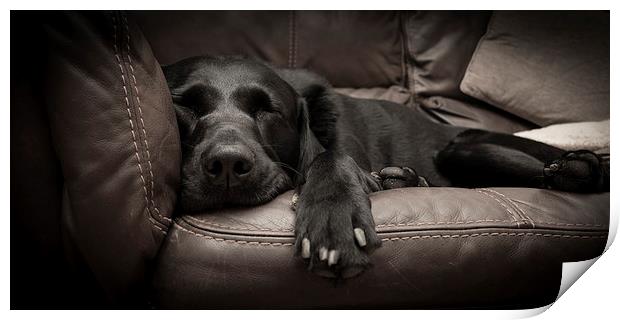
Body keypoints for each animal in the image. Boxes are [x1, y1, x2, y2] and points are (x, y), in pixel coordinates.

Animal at [161, 56, 612, 278]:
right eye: (185, 105)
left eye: (266, 110)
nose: (227, 163)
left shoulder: (342, 153)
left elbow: (331, 157)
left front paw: (333, 219)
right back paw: (404, 179)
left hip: (463, 148)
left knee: (570, 175)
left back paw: (575, 168)